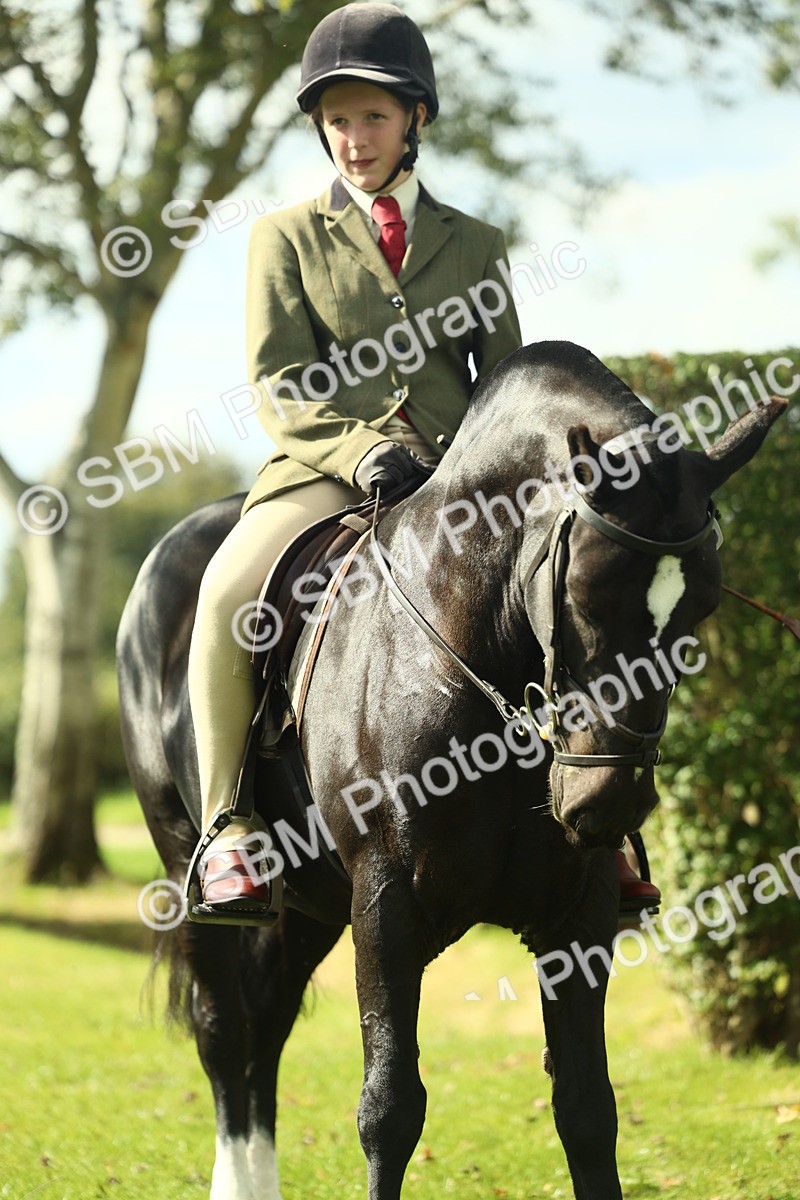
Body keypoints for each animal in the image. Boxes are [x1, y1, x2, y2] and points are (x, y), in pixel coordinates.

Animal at [117, 340, 784, 1200]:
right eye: (582, 597)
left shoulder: (580, 913)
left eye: (702, 609)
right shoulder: (386, 903)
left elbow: (587, 1108)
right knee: (226, 1031)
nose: (604, 802)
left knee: (266, 1021)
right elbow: (390, 1108)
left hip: (312, 902)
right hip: (184, 862)